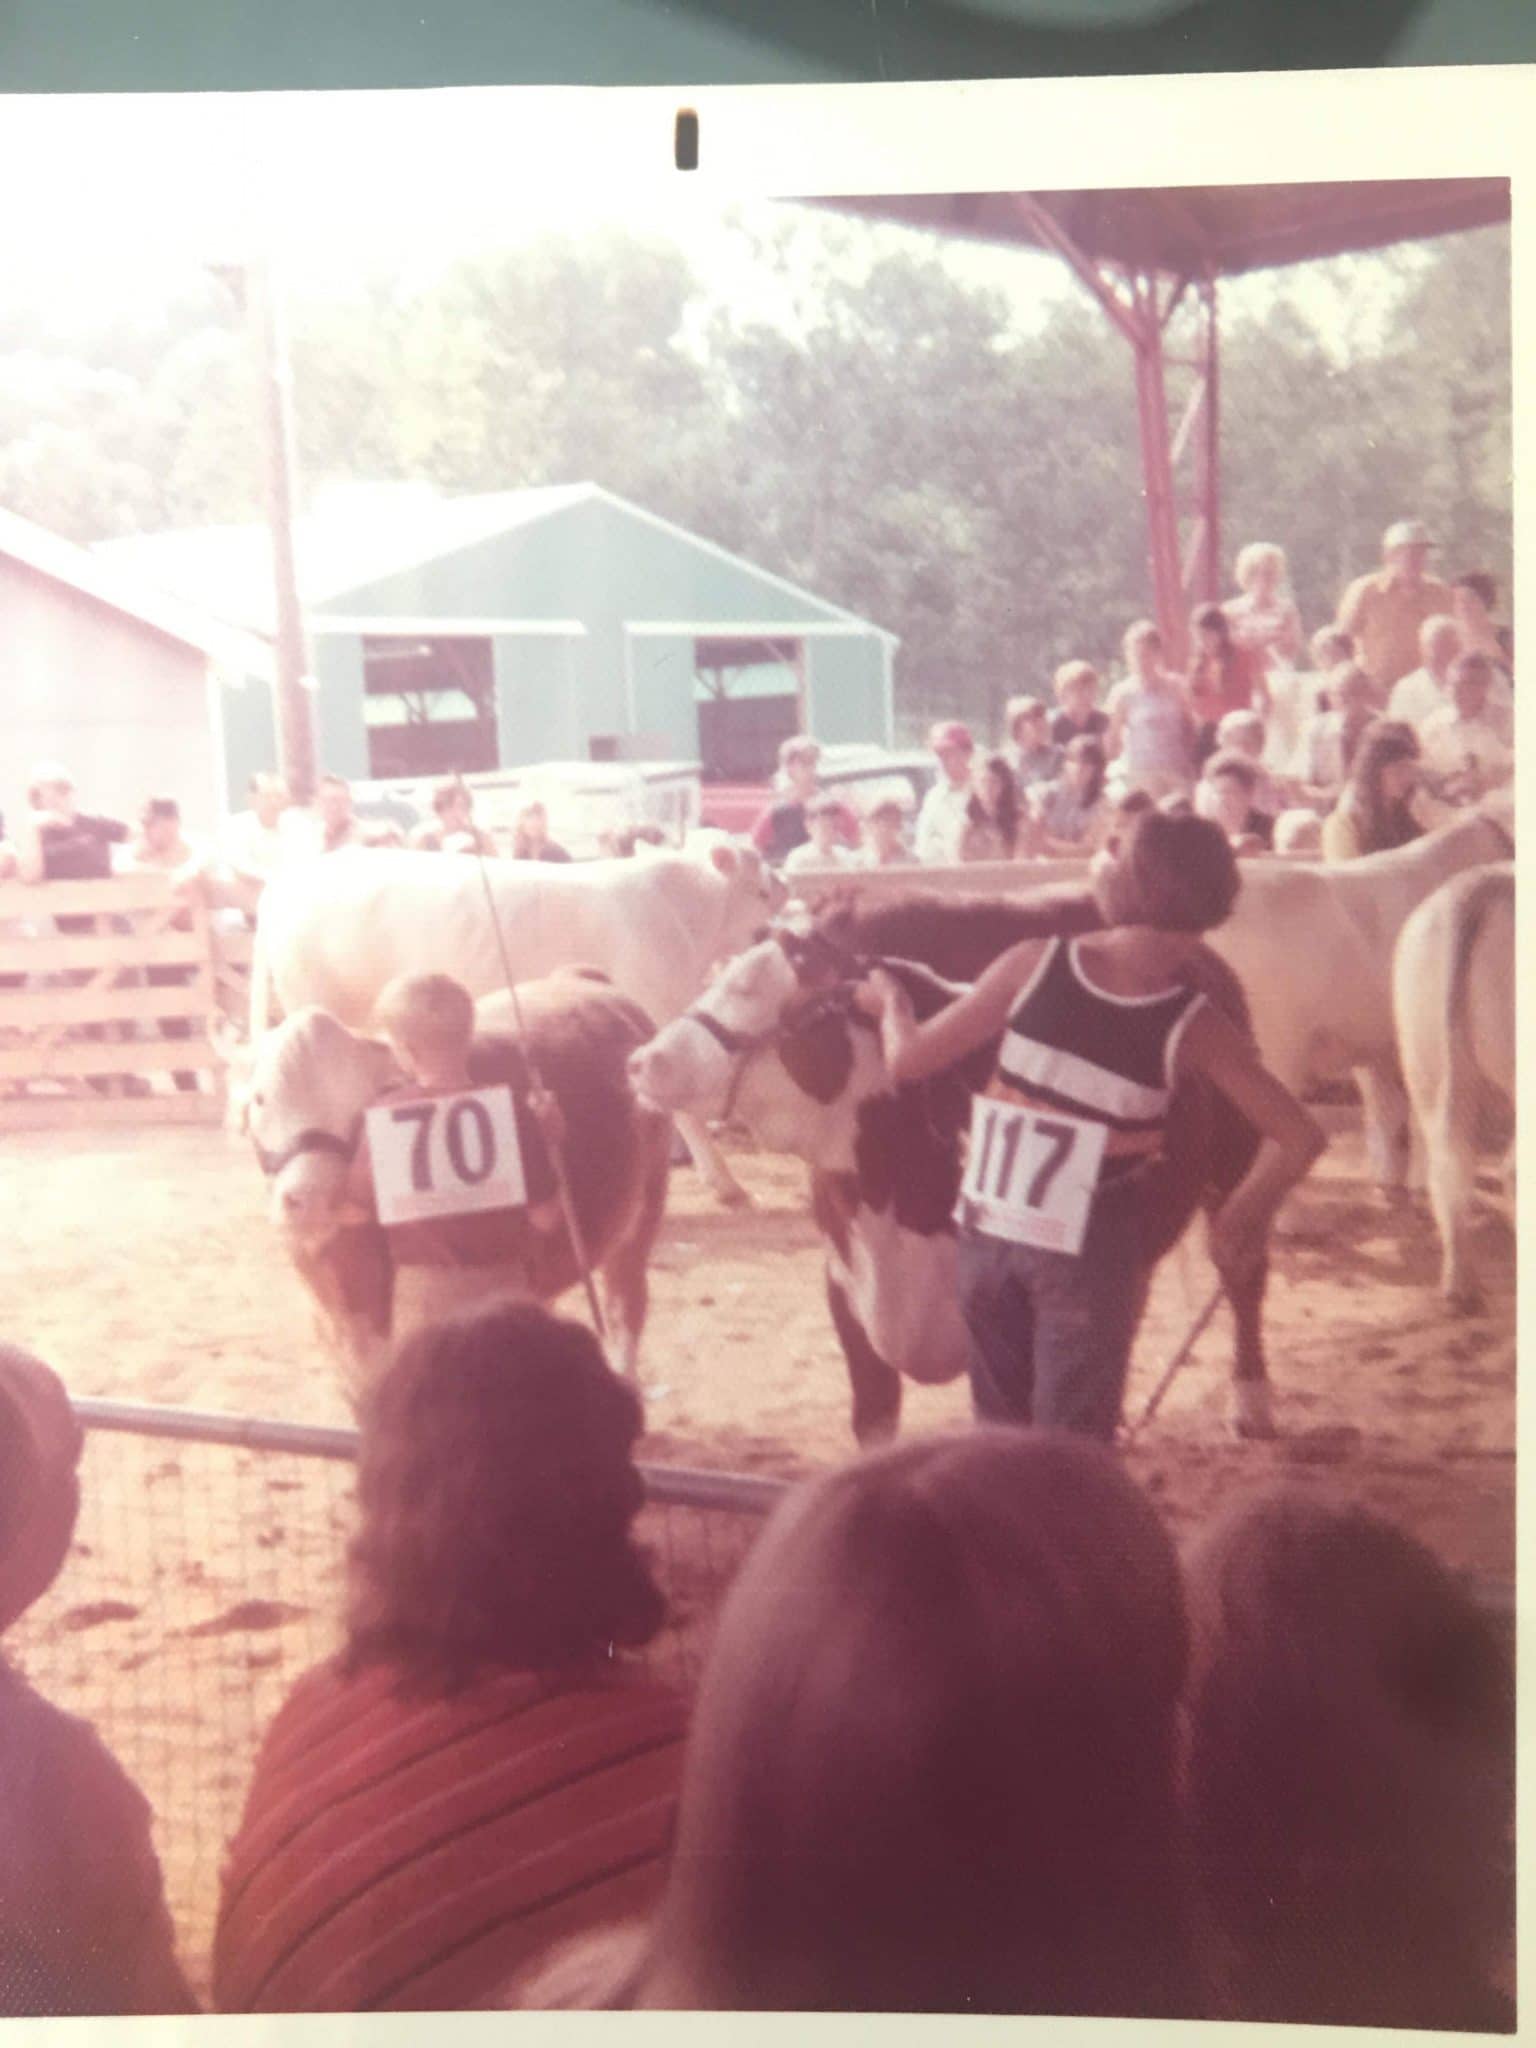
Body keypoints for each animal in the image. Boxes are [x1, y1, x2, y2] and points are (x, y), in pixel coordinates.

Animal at [244, 966, 667, 1400]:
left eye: (359, 1105)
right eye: (260, 1099)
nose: (311, 1198)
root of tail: (580, 976)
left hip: (643, 1214)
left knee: (625, 1307)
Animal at [252, 843, 786, 1204]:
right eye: (761, 887)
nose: (785, 882)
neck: (685, 912)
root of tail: (287, 880)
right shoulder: (658, 1006)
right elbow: (682, 1108)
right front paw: (725, 1184)